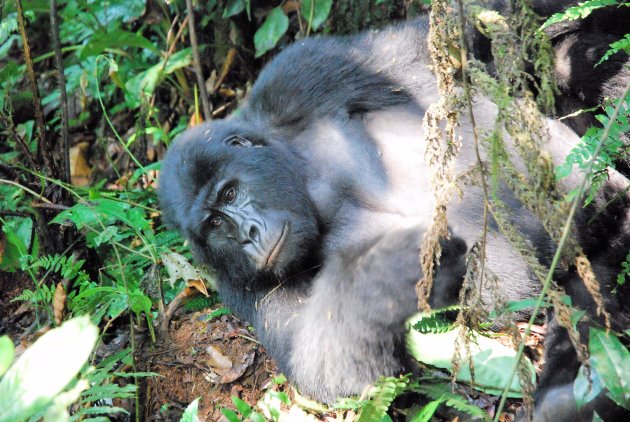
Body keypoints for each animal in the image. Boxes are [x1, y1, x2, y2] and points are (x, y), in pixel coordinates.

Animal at [159, 4, 630, 422]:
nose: (249, 234)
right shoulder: (237, 286)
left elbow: (453, 39)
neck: (301, 173)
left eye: (230, 192)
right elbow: (324, 364)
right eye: (215, 225)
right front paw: (396, 266)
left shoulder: (299, 74)